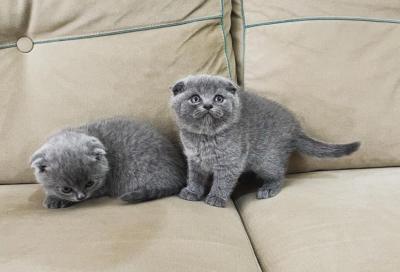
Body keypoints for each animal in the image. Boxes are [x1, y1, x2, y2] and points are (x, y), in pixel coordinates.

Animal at [30, 118, 186, 209]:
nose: (81, 196)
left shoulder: (102, 186)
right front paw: (52, 197)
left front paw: (56, 200)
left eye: (89, 184)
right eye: (66, 189)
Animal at [169, 75, 360, 207]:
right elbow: (195, 177)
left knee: (279, 174)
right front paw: (192, 192)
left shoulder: (231, 162)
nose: (208, 105)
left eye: (218, 98)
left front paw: (216, 197)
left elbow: (223, 181)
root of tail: (295, 129)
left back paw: (268, 188)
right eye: (195, 98)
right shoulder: (195, 159)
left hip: (266, 160)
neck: (205, 137)